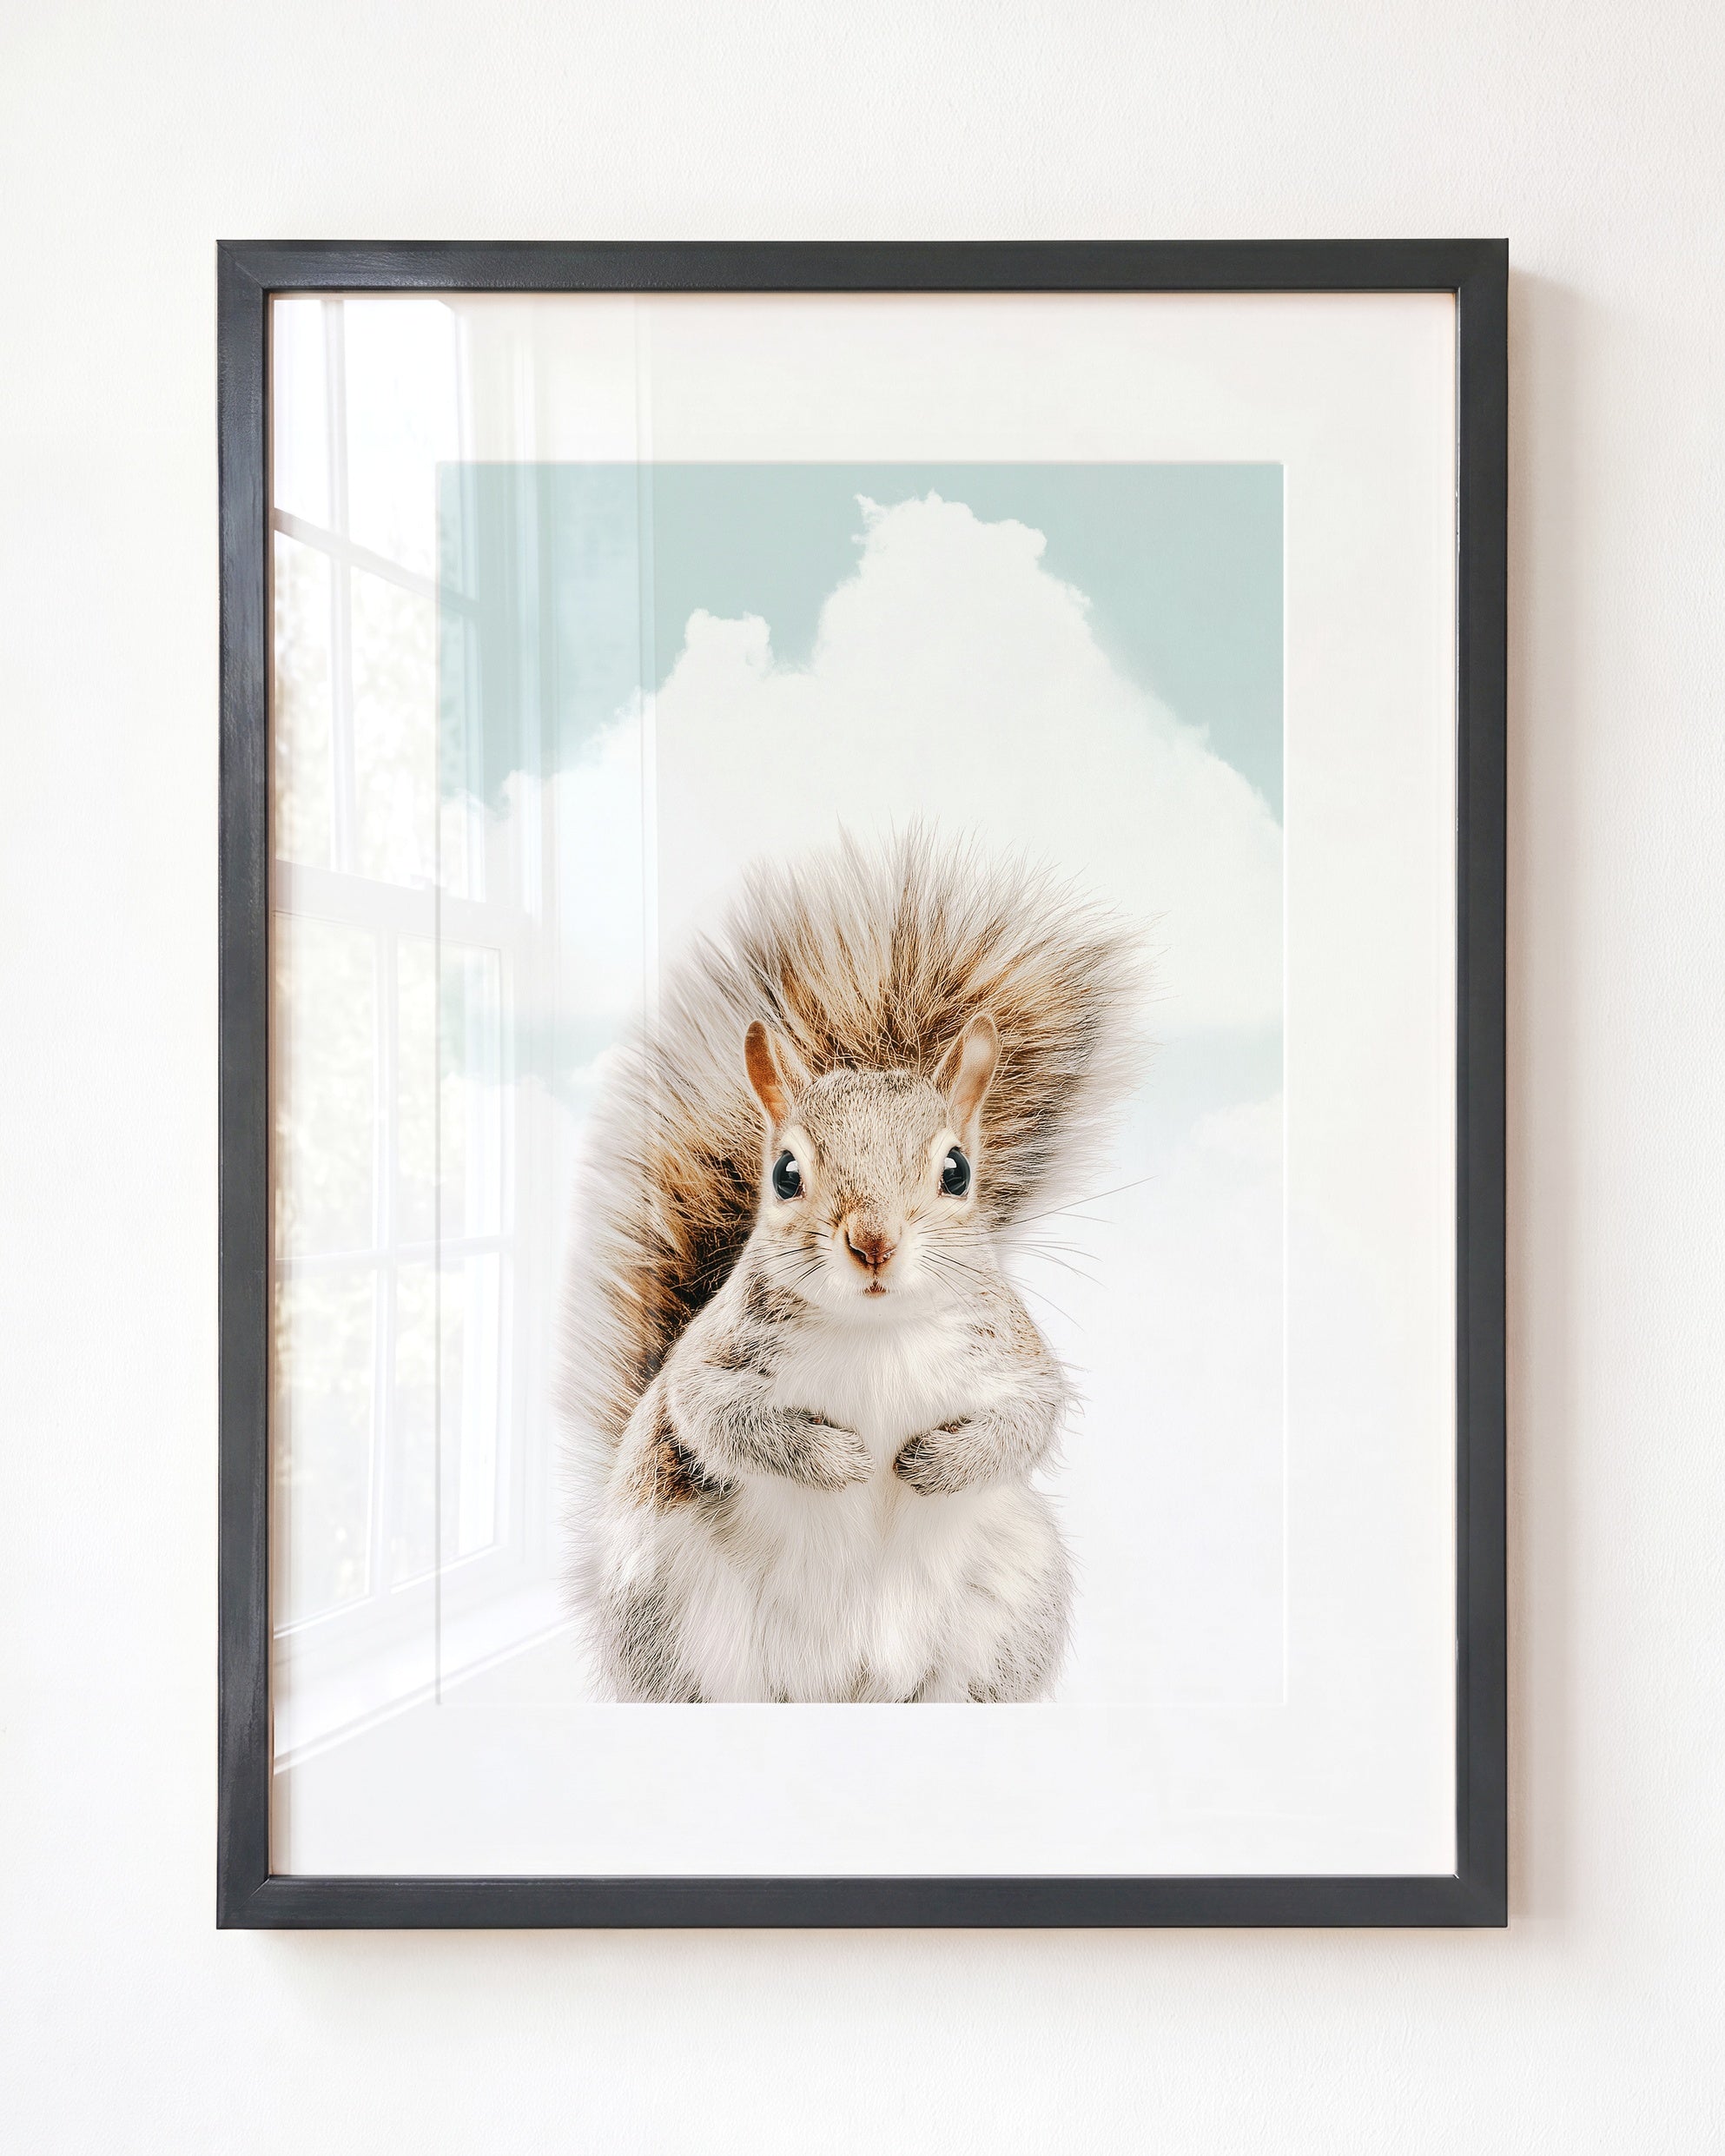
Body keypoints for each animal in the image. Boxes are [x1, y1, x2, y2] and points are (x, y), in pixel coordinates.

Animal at [557, 829, 1141, 1703]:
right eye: (784, 1174)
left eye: (958, 1171)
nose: (872, 1242)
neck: (876, 1330)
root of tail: (847, 1684)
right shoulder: (711, 1361)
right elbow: (717, 1416)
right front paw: (838, 1460)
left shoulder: (1014, 1359)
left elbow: (1026, 1422)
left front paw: (934, 1463)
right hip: (673, 1610)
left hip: (1006, 1610)